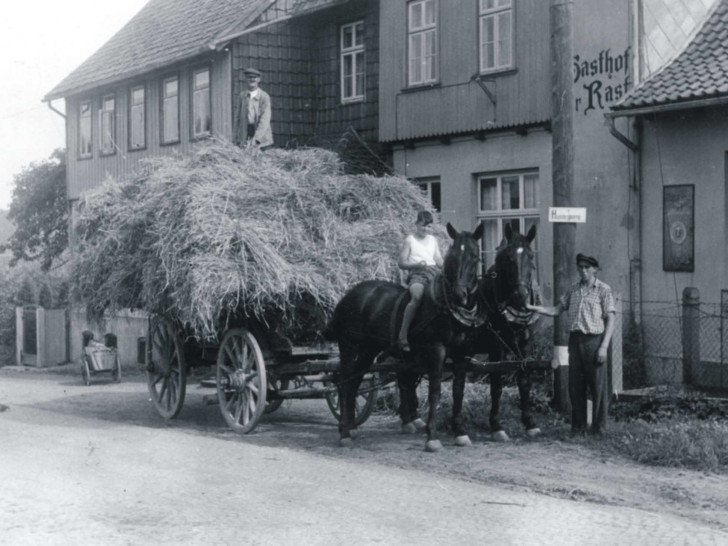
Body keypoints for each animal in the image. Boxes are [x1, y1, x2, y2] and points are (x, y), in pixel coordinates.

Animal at [326, 221, 484, 450]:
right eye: (452, 255)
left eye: (474, 256)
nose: (459, 294)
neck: (447, 308)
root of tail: (348, 295)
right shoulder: (437, 351)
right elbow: (435, 390)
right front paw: (432, 436)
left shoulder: (462, 354)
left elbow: (458, 391)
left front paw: (460, 432)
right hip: (349, 346)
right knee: (345, 381)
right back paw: (345, 431)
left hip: (368, 350)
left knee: (354, 382)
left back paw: (349, 428)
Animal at [450, 221, 540, 442]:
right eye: (508, 258)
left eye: (530, 257)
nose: (521, 297)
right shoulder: (496, 350)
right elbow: (496, 385)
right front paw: (496, 425)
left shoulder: (524, 346)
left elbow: (524, 381)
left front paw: (529, 422)